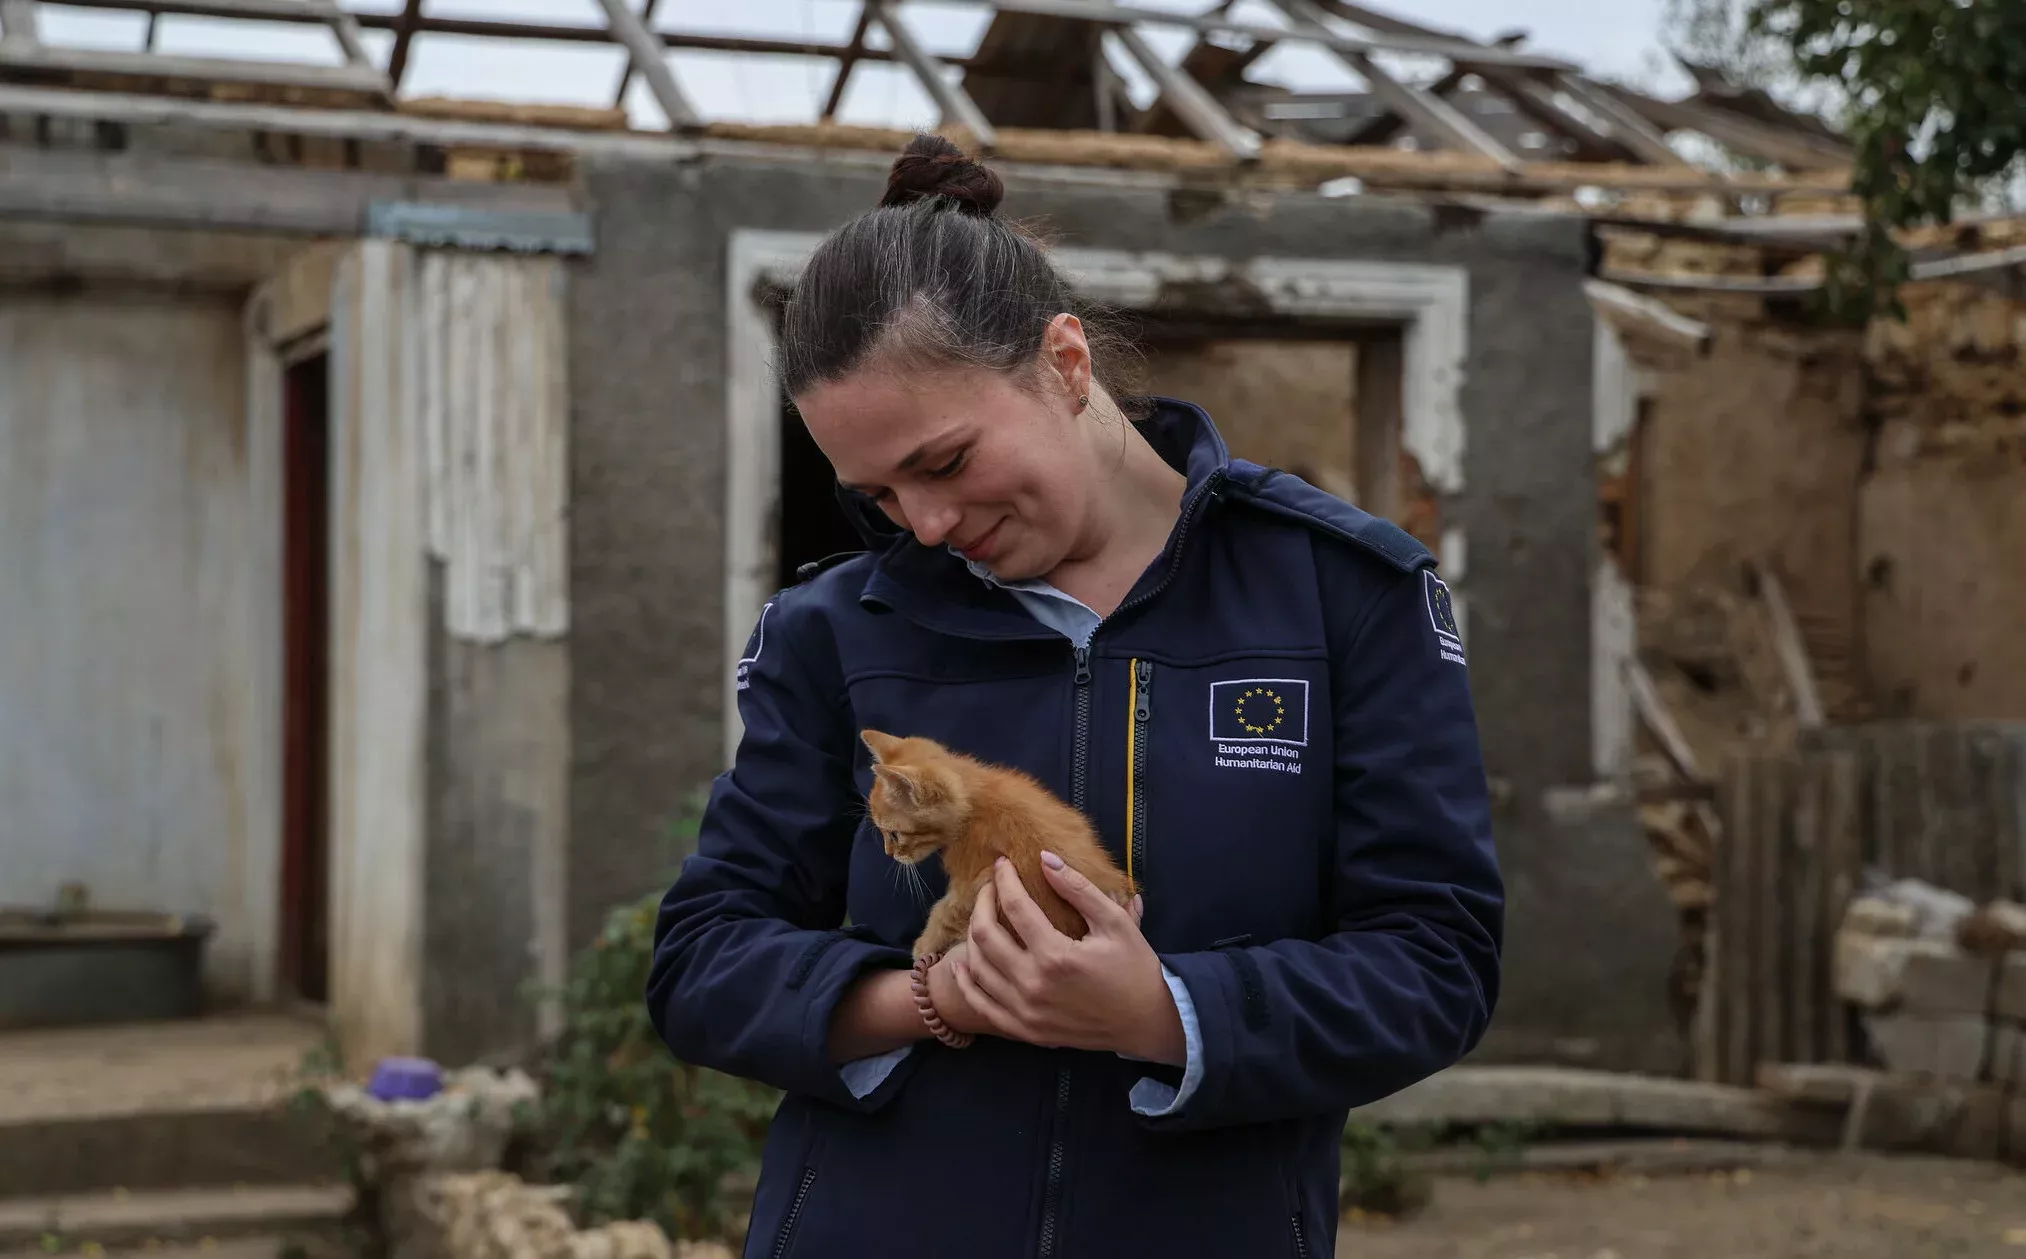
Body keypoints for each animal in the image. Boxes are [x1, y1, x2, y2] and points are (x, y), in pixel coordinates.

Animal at [859, 721, 1142, 956]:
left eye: (894, 834)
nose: (889, 853)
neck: (974, 803)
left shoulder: (972, 882)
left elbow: (945, 913)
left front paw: (924, 945)